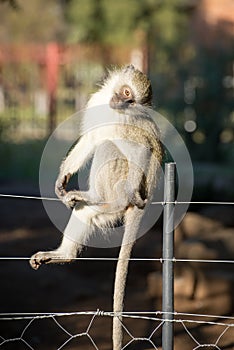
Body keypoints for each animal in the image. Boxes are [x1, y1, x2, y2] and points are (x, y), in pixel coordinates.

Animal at [29, 64, 164, 348]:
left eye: (131, 100)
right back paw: (64, 254)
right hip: (106, 211)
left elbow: (138, 148)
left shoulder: (128, 123)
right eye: (126, 92)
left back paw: (101, 195)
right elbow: (90, 139)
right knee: (87, 210)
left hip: (120, 182)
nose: (121, 102)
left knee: (110, 147)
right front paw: (62, 178)